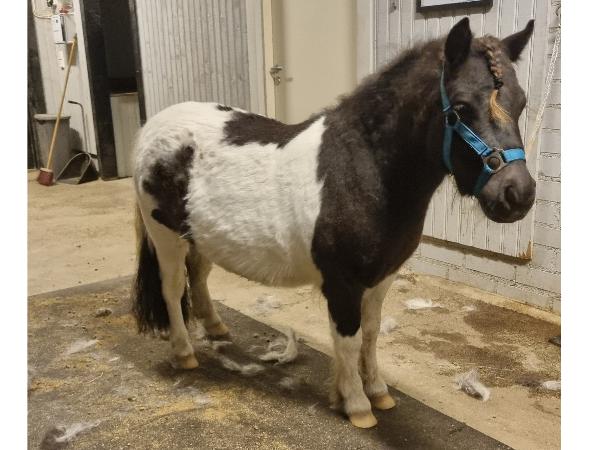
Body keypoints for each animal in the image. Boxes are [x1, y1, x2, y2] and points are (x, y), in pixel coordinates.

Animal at [131, 17, 536, 428]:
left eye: (521, 103)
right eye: (461, 108)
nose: (517, 195)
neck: (365, 171)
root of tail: (154, 126)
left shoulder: (381, 279)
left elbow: (371, 334)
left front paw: (378, 392)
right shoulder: (343, 284)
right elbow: (349, 339)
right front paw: (356, 405)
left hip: (197, 236)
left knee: (198, 277)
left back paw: (216, 328)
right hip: (165, 237)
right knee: (172, 288)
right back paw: (184, 353)